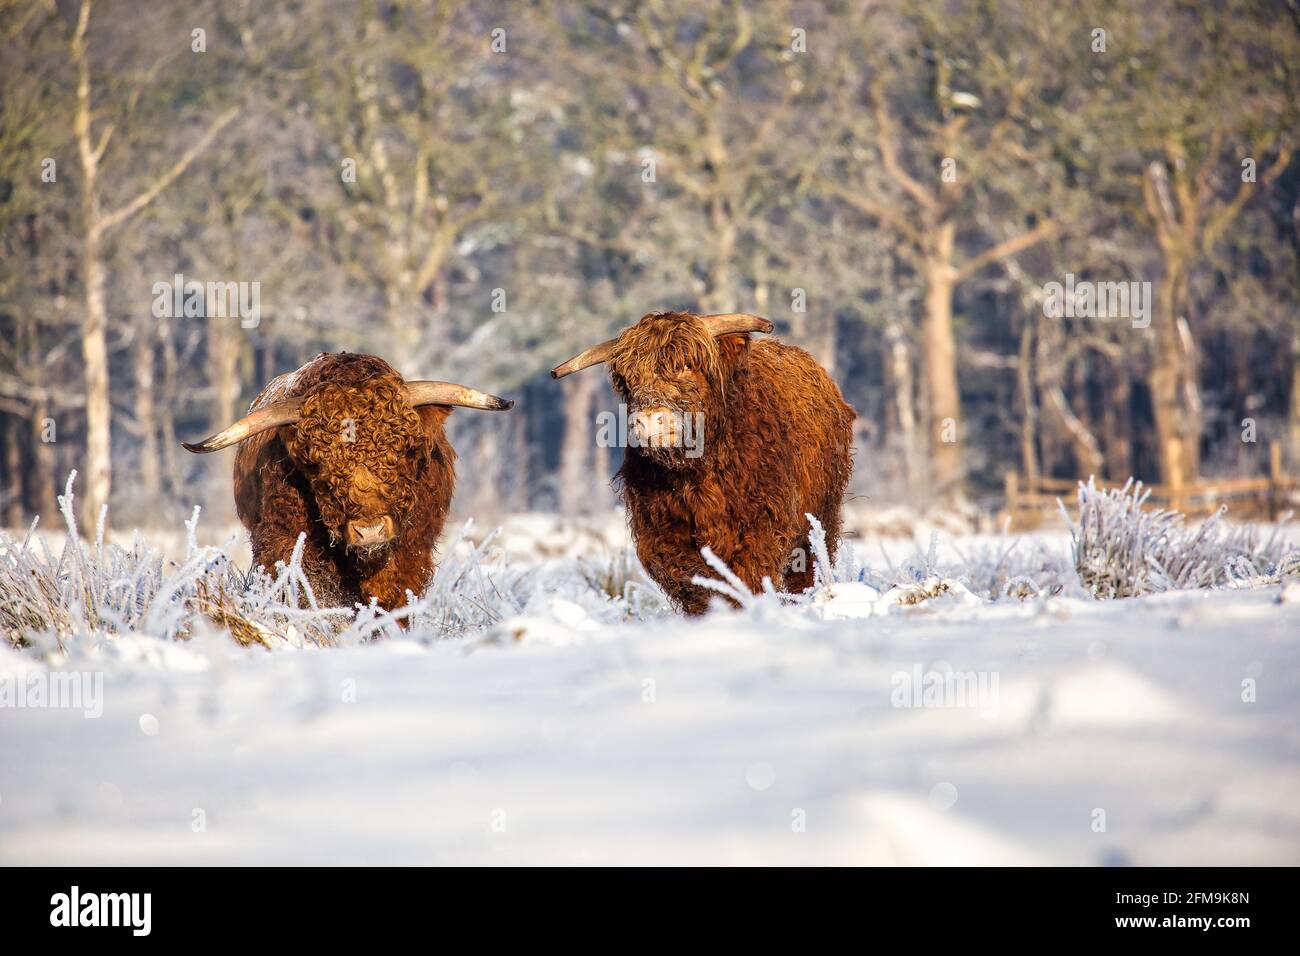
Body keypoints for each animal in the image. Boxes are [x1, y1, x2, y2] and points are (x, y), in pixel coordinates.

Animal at [553, 310, 857, 616]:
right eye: (628, 381)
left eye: (686, 365)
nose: (650, 421)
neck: (696, 472)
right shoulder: (660, 533)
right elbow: (692, 578)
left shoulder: (763, 523)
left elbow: (746, 574)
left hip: (820, 517)